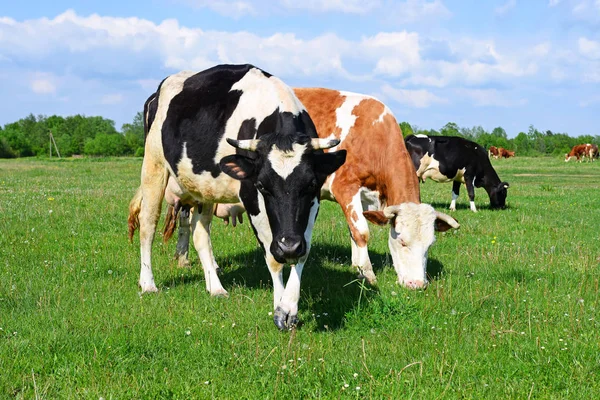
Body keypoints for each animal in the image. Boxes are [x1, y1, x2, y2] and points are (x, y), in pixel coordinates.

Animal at [126, 65, 346, 332]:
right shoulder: (251, 197)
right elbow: (273, 258)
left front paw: (290, 306)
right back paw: (148, 283)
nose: (288, 246)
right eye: (262, 185)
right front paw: (279, 307)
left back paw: (215, 287)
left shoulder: (311, 205)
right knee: (148, 225)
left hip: (204, 188)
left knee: (200, 234)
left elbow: (303, 252)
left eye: (311, 184)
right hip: (154, 165)